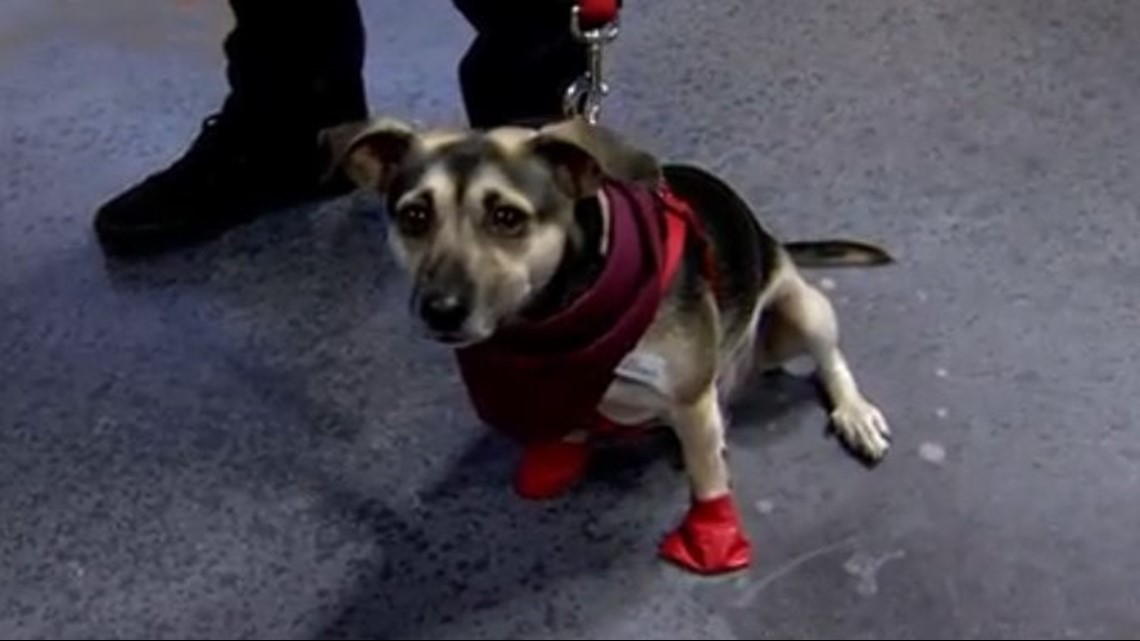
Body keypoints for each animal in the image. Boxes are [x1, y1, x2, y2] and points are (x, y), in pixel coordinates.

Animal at [326, 115, 893, 574]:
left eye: (507, 218)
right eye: (414, 216)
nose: (440, 310)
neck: (554, 318)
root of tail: (770, 237)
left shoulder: (688, 392)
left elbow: (708, 479)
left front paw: (712, 539)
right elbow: (565, 423)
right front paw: (558, 455)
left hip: (802, 311)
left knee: (828, 361)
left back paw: (854, 413)